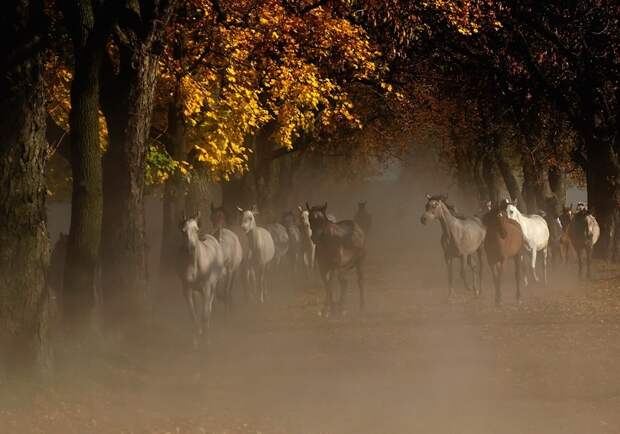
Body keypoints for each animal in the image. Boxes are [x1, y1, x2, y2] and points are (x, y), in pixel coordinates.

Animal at [177, 215, 225, 348]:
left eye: (196, 229)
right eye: (183, 231)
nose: (192, 248)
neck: (195, 266)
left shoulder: (206, 287)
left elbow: (205, 314)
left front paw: (206, 341)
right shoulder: (187, 289)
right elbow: (193, 315)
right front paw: (195, 342)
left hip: (212, 287)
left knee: (209, 307)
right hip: (196, 291)